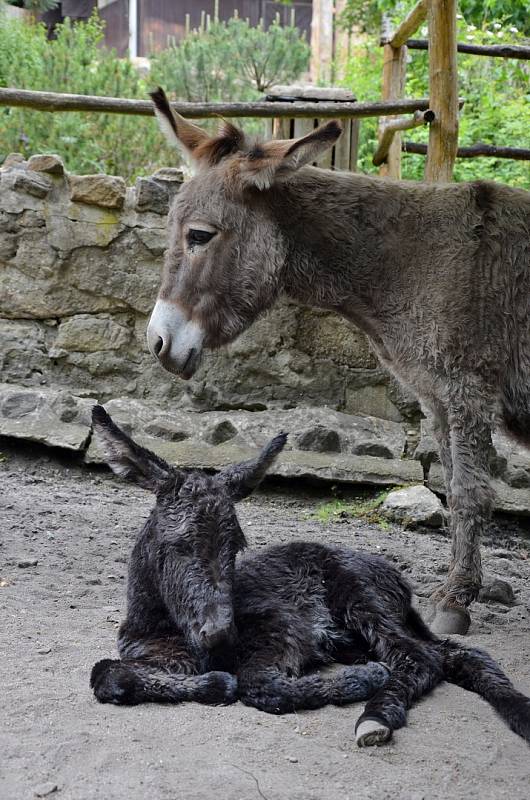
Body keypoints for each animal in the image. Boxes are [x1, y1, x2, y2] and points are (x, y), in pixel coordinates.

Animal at [91, 406, 528, 752]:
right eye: (177, 545)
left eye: (235, 547)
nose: (219, 633)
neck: (166, 626)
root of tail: (395, 578)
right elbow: (105, 673)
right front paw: (214, 683)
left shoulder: (282, 628)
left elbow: (259, 685)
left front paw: (362, 680)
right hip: (364, 631)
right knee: (455, 655)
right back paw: (516, 710)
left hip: (361, 602)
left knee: (421, 658)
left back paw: (376, 714)